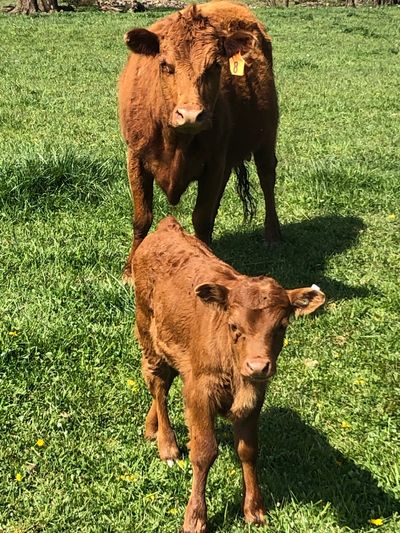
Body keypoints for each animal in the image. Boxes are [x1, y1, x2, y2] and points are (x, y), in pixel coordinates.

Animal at [119, 1, 282, 278]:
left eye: (215, 66)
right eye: (165, 65)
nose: (190, 115)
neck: (175, 142)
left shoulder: (214, 163)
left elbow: (201, 218)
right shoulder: (135, 158)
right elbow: (142, 216)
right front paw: (130, 270)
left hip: (266, 137)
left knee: (267, 177)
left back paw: (272, 235)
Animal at [132, 216, 324, 532]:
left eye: (282, 326)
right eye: (233, 325)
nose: (258, 366)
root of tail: (168, 227)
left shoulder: (255, 396)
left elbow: (248, 449)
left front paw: (254, 510)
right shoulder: (200, 391)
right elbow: (204, 451)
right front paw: (195, 517)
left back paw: (152, 427)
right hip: (148, 333)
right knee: (158, 384)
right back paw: (167, 444)